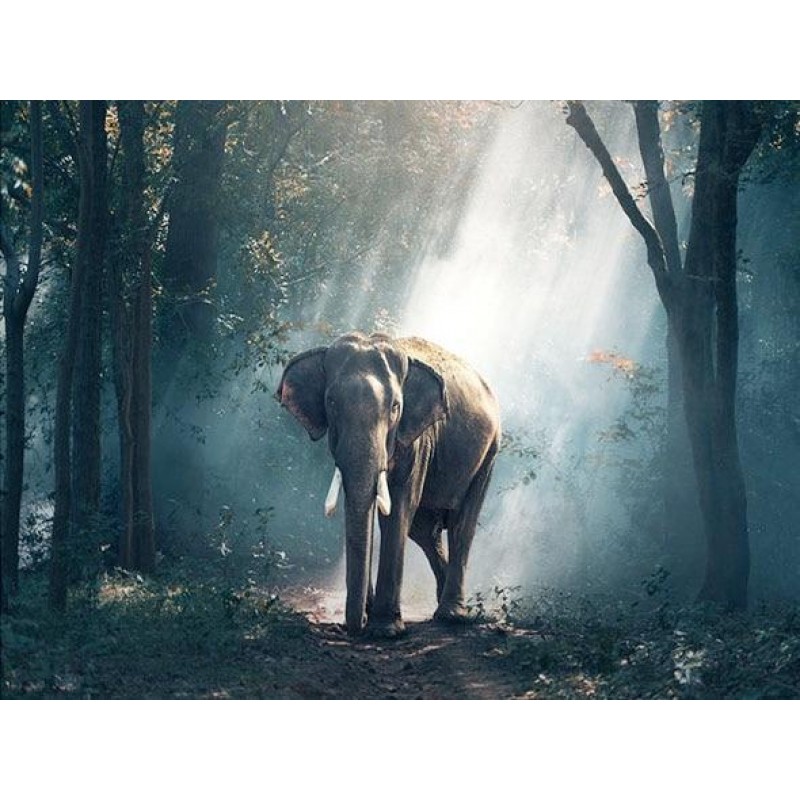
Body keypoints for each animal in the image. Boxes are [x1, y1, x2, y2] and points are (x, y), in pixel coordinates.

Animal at [276, 331, 500, 638]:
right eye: (331, 402)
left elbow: (398, 510)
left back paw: (451, 615)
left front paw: (385, 630)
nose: (353, 627)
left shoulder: (417, 438)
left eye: (395, 407)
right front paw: (371, 618)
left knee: (461, 525)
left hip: (490, 451)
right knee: (424, 531)